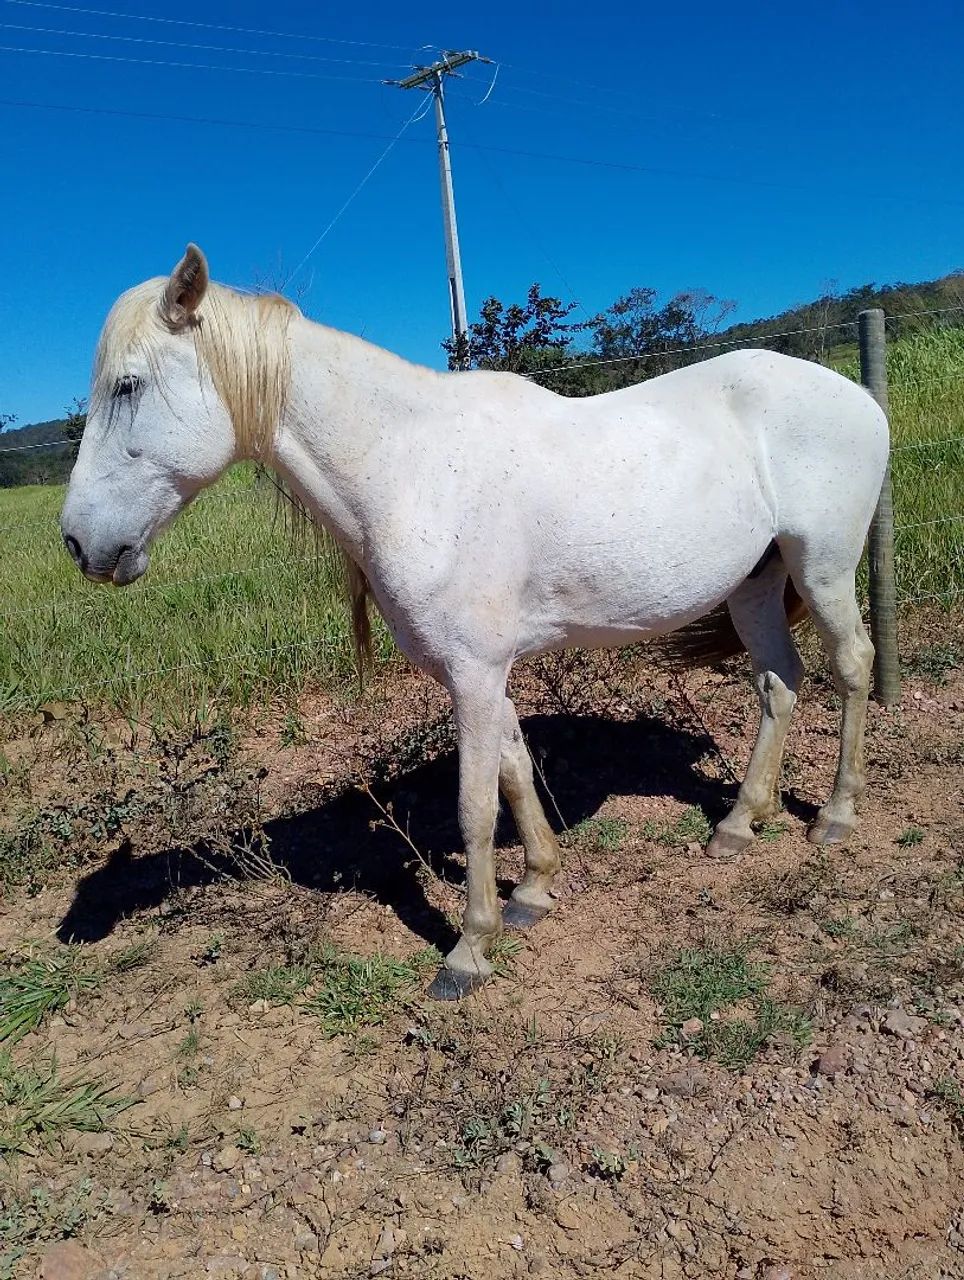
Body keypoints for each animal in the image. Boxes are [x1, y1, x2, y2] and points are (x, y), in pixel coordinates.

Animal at [61, 245, 889, 999]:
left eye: (128, 385)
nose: (79, 543)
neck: (411, 470)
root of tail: (859, 399)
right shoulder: (480, 673)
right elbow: (516, 771)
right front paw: (534, 890)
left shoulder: (473, 672)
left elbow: (474, 805)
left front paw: (470, 947)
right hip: (757, 583)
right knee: (780, 685)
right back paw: (740, 823)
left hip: (822, 566)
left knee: (852, 665)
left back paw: (836, 815)